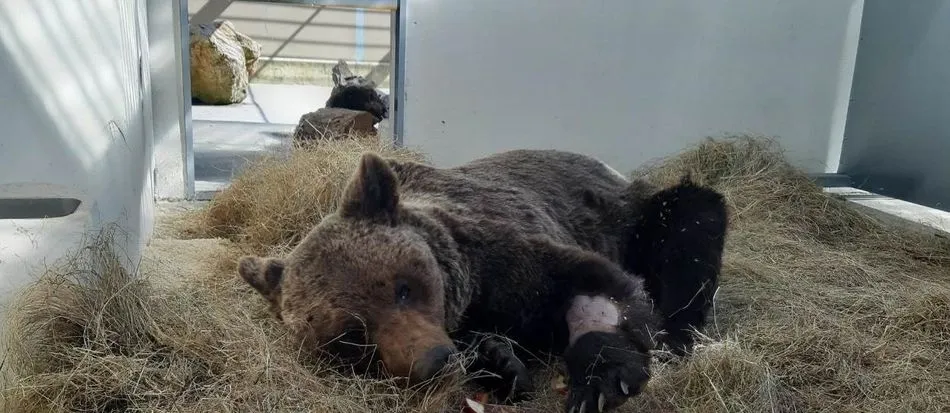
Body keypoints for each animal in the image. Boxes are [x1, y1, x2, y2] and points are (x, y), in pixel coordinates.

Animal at [237, 149, 728, 412]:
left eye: (402, 287)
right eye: (351, 337)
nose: (432, 361)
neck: (471, 296)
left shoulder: (509, 250)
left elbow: (592, 287)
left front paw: (602, 382)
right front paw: (499, 362)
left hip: (640, 217)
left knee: (691, 227)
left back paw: (681, 334)